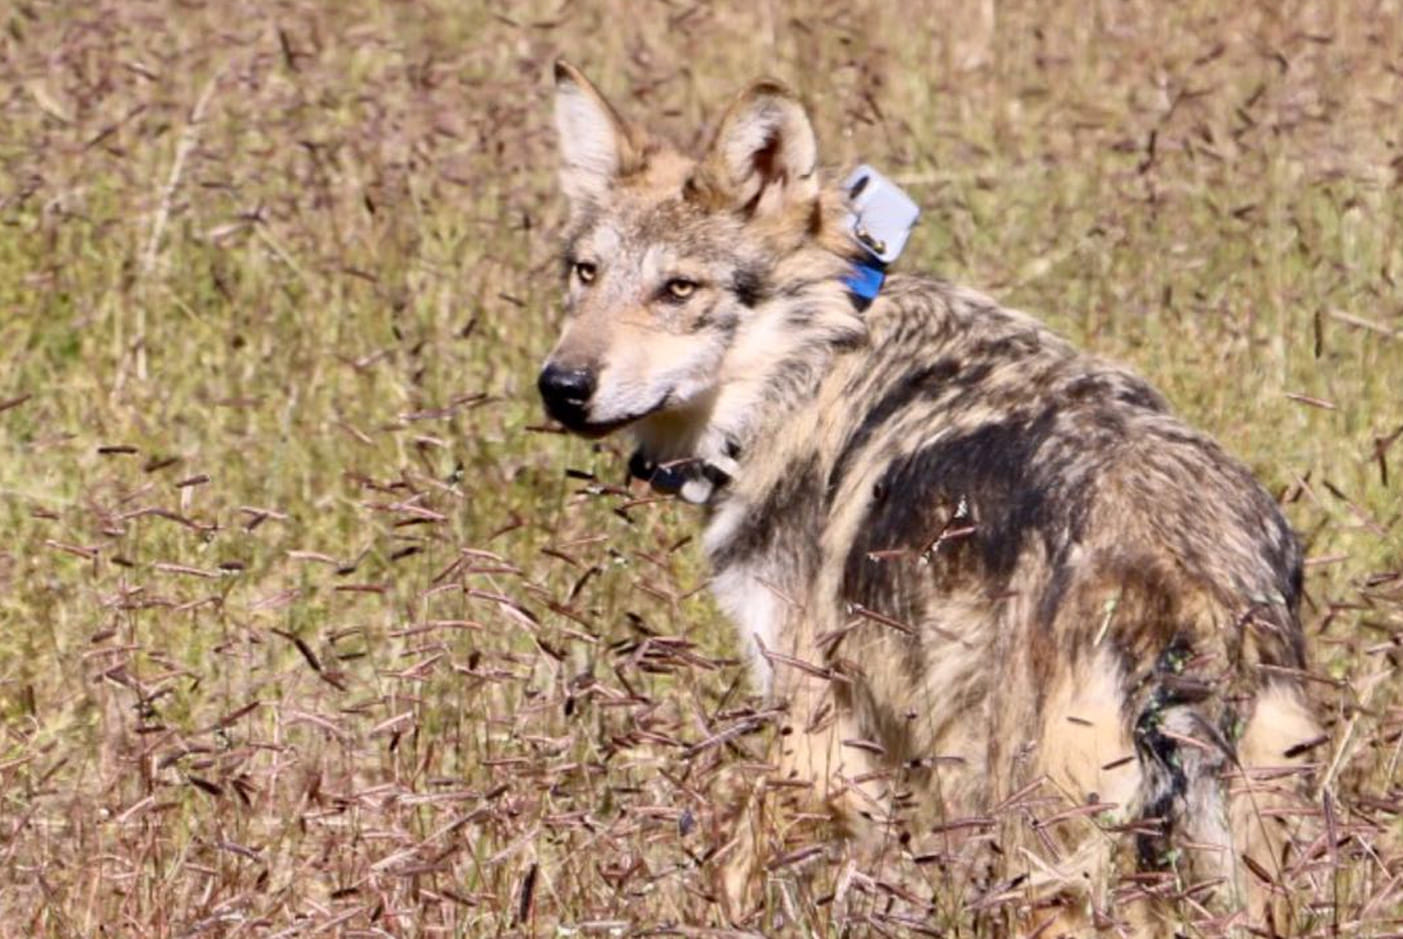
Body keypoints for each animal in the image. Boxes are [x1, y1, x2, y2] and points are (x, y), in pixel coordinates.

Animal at [537, 60, 1319, 933]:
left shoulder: (820, 740)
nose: (560, 387)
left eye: (678, 288)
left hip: (1034, 846)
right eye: (585, 273)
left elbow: (735, 862)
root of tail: (1190, 585)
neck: (801, 370)